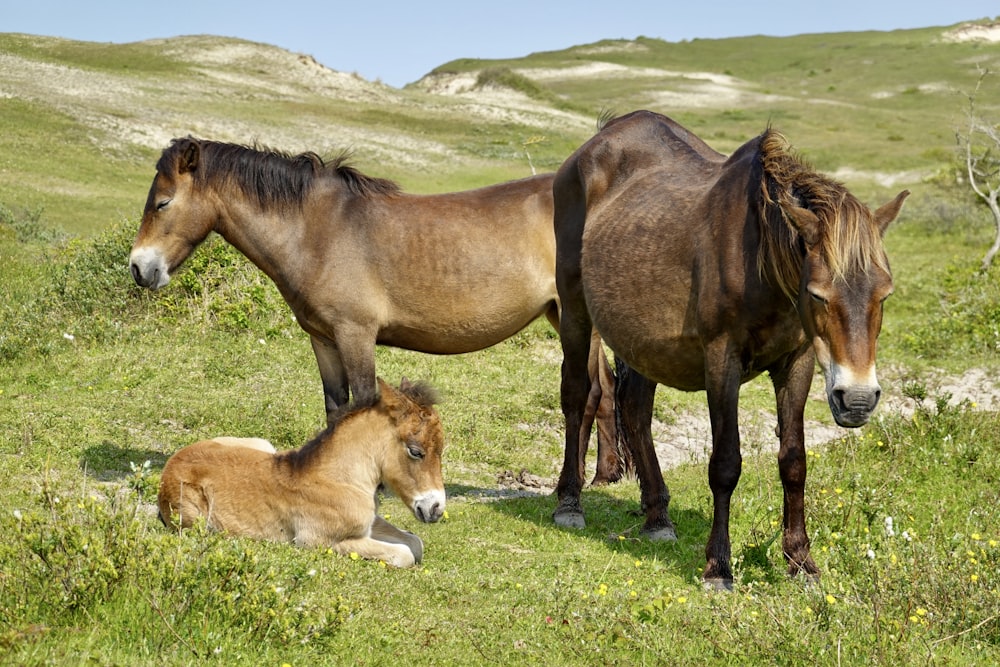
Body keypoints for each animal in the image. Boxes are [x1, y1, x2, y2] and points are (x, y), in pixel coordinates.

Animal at [127, 138, 624, 482]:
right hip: (567, 317)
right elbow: (336, 408)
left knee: (590, 393)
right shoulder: (324, 338)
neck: (316, 230)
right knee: (603, 391)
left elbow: (364, 403)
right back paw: (602, 476)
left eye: (164, 202)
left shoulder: (356, 334)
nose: (139, 267)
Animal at [157, 378, 446, 568]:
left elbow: (415, 543)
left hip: (263, 445)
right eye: (416, 451)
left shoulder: (369, 522)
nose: (436, 509)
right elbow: (404, 553)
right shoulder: (316, 541)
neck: (338, 479)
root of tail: (170, 465)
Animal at [552, 112, 912, 592]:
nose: (856, 400)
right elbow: (725, 464)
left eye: (884, 294)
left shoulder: (796, 364)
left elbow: (793, 462)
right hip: (576, 312)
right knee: (578, 395)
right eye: (818, 295)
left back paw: (657, 515)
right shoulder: (722, 361)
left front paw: (801, 561)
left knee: (635, 410)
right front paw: (718, 567)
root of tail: (596, 141)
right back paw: (569, 503)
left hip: (639, 337)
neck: (760, 258)